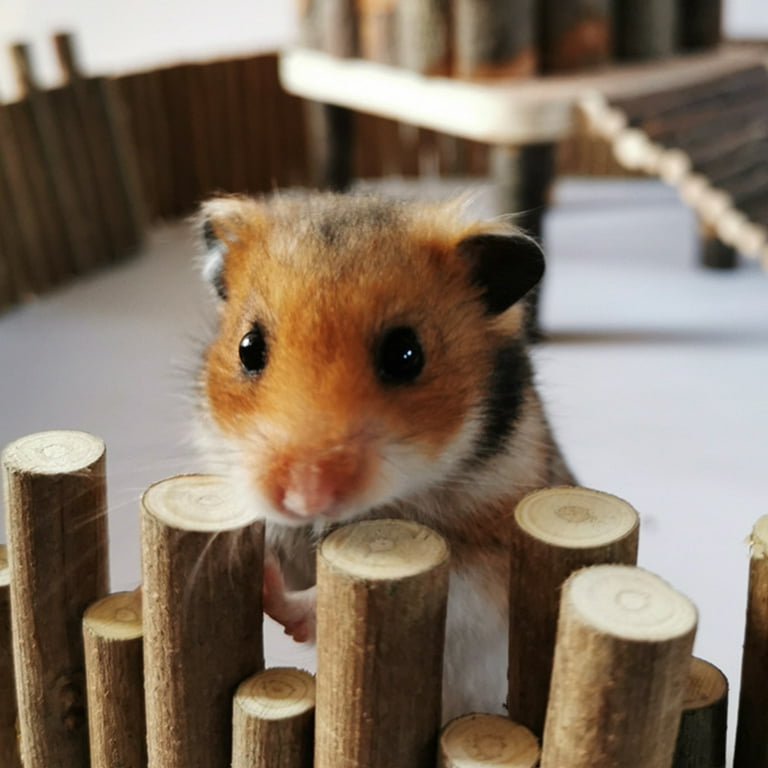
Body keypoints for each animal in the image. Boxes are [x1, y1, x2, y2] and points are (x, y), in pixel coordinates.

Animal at [194, 191, 574, 719]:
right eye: (248, 348)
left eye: (405, 354)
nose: (305, 499)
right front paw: (262, 572)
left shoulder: (488, 568)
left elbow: (437, 594)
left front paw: (279, 600)